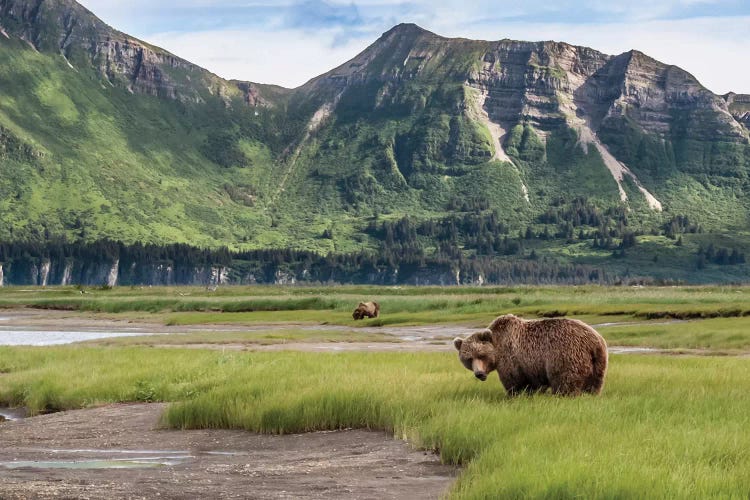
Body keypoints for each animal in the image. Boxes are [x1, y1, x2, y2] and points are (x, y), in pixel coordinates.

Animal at [452, 314, 612, 396]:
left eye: (481, 355)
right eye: (468, 359)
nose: (479, 373)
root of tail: (595, 340)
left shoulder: (511, 359)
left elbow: (514, 381)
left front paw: (514, 395)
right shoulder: (531, 366)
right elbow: (534, 383)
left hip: (566, 355)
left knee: (565, 382)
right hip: (598, 363)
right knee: (595, 385)